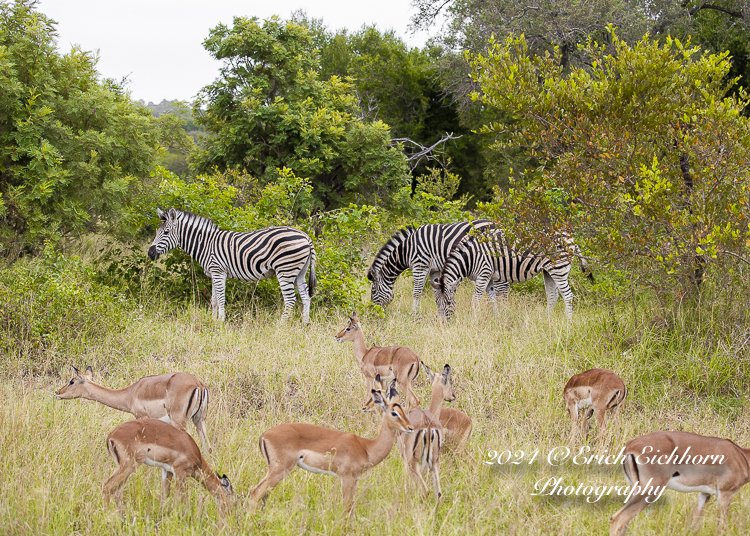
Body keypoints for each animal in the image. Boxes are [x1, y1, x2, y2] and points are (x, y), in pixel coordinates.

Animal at [150, 208, 318, 322]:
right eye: (157, 232)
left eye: (166, 232)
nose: (150, 253)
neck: (206, 244)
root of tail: (306, 236)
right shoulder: (213, 274)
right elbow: (214, 300)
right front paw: (213, 320)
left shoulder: (218, 271)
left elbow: (221, 298)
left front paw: (221, 322)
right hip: (299, 271)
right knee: (305, 297)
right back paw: (304, 323)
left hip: (285, 270)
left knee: (290, 299)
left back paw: (280, 326)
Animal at [368, 220, 502, 314]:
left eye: (373, 291)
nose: (372, 312)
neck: (407, 250)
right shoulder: (435, 270)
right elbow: (437, 294)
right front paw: (441, 312)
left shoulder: (420, 266)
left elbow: (416, 293)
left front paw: (415, 314)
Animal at [428, 228, 592, 320]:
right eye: (437, 303)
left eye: (449, 303)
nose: (444, 324)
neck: (470, 257)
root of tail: (571, 238)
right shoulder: (489, 278)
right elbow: (493, 299)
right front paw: (497, 319)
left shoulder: (483, 273)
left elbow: (475, 300)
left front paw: (473, 319)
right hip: (548, 271)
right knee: (553, 296)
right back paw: (546, 319)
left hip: (559, 268)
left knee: (568, 295)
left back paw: (568, 323)